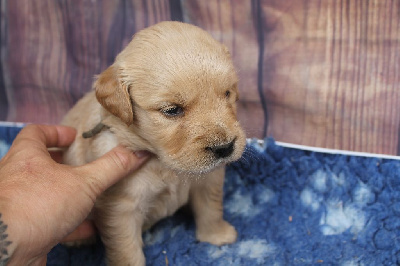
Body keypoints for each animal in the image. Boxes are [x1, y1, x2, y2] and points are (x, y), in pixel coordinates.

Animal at [61, 21, 245, 266]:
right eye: (172, 110)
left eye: (227, 94)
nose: (225, 148)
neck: (163, 163)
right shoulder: (120, 208)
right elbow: (126, 251)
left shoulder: (209, 179)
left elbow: (211, 207)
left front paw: (217, 235)